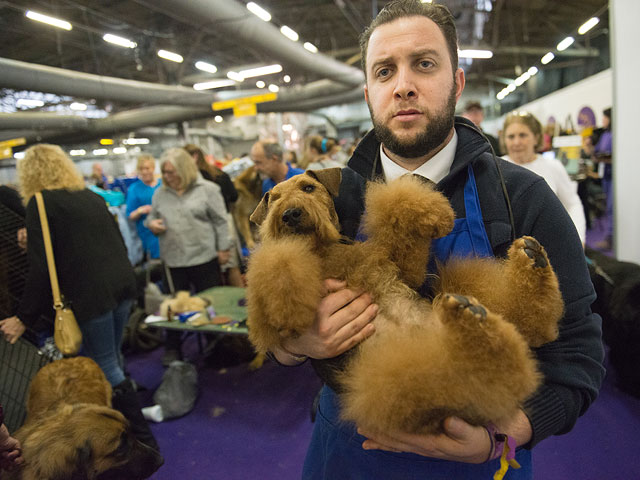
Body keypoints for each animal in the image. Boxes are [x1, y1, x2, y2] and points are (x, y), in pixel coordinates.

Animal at [248, 169, 564, 436]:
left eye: (308, 187)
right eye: (273, 199)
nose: (290, 214)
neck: (325, 253)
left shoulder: (400, 270)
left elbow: (398, 207)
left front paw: (437, 216)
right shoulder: (267, 324)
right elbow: (276, 260)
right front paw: (289, 309)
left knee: (528, 331)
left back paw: (531, 261)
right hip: (401, 382)